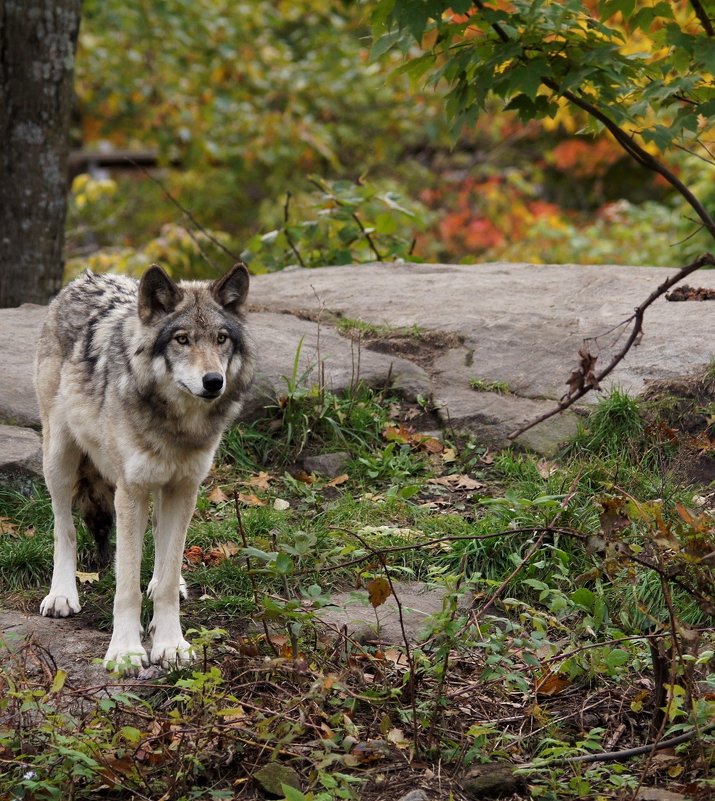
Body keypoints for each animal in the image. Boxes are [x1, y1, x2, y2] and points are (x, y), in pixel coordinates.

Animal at [35, 262, 258, 668]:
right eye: (181, 339)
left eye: (221, 338)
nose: (213, 381)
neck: (177, 426)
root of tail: (87, 277)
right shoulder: (131, 491)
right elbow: (126, 586)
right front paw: (125, 651)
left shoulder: (184, 488)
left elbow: (167, 577)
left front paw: (171, 644)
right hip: (59, 459)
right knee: (65, 529)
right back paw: (61, 595)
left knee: (157, 542)